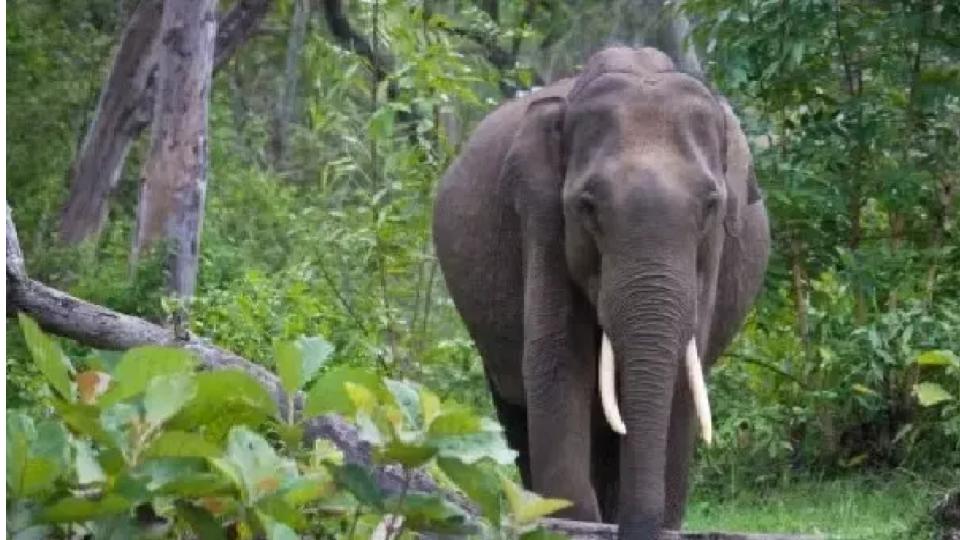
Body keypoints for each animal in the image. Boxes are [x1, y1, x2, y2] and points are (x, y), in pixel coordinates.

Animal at [432, 47, 769, 539]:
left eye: (711, 205)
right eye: (587, 206)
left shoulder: (714, 254)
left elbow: (683, 378)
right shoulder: (541, 218)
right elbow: (558, 360)